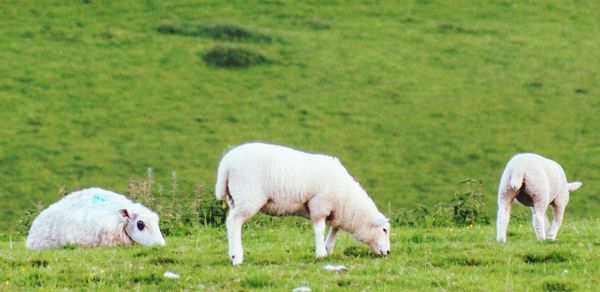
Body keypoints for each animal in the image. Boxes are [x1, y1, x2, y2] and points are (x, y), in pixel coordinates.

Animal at [213, 143, 392, 266]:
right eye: (384, 230)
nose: (388, 252)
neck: (348, 201)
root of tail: (226, 163)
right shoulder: (320, 205)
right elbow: (320, 230)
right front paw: (321, 253)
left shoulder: (334, 210)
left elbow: (335, 229)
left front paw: (328, 248)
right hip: (248, 195)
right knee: (234, 221)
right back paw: (237, 256)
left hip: (235, 197)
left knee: (231, 222)